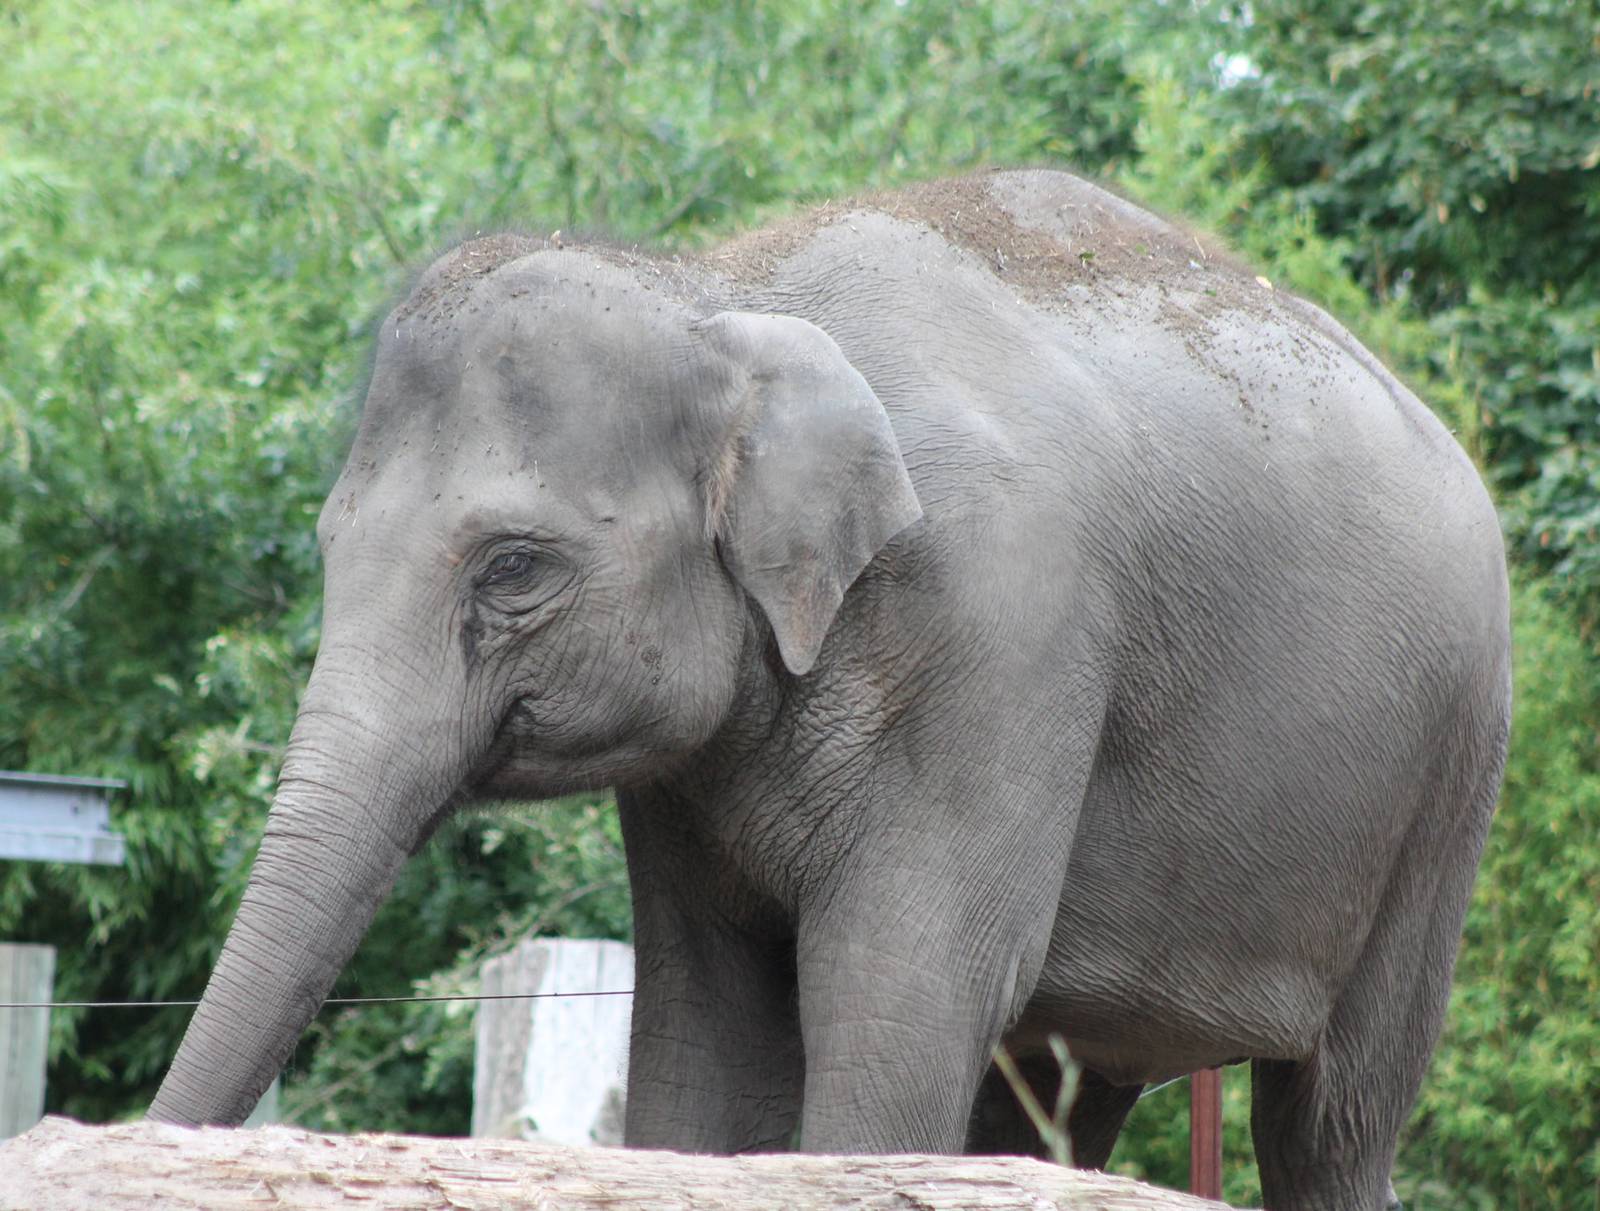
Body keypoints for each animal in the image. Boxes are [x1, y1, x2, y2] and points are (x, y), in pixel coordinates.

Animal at [150, 169, 1510, 1211]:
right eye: (328, 546)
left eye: (514, 566)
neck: (725, 294)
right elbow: (705, 1024)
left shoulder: (1002, 623)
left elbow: (903, 992)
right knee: (1059, 1094)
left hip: (1445, 784)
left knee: (1333, 1118)